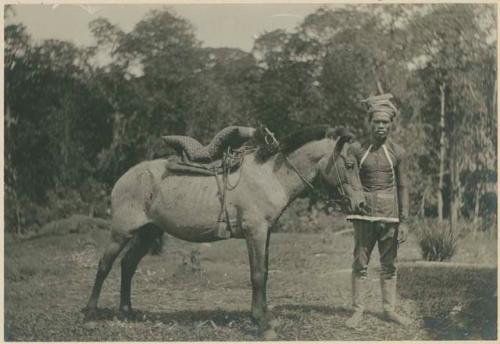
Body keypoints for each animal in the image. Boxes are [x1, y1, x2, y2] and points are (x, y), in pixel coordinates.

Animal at [84, 125, 366, 338]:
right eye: (350, 164)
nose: (361, 204)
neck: (271, 177)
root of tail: (124, 177)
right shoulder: (255, 232)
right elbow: (257, 276)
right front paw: (262, 325)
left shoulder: (265, 233)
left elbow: (264, 274)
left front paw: (266, 318)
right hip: (122, 232)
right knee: (104, 265)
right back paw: (90, 315)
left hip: (148, 233)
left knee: (128, 265)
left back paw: (127, 311)